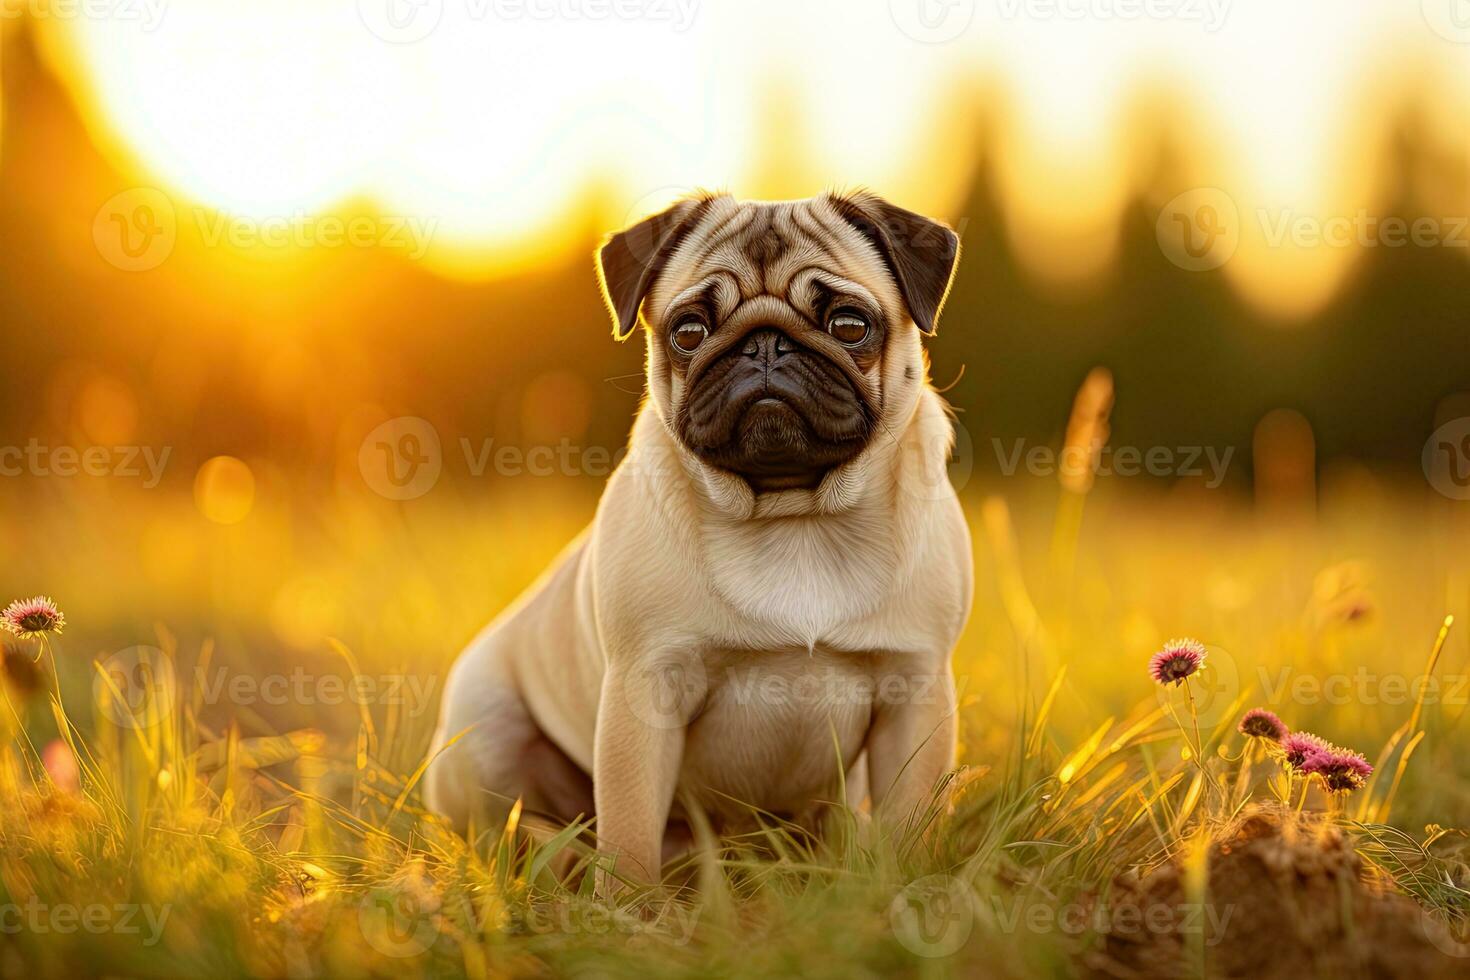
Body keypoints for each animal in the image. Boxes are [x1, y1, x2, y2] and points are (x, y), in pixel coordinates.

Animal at [426, 189, 970, 881]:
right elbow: (630, 830)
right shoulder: (644, 692)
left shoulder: (915, 689)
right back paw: (559, 856)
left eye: (850, 325)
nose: (765, 347)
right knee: (506, 824)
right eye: (689, 332)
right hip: (484, 728)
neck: (794, 516)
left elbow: (910, 821)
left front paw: (898, 885)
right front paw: (626, 901)